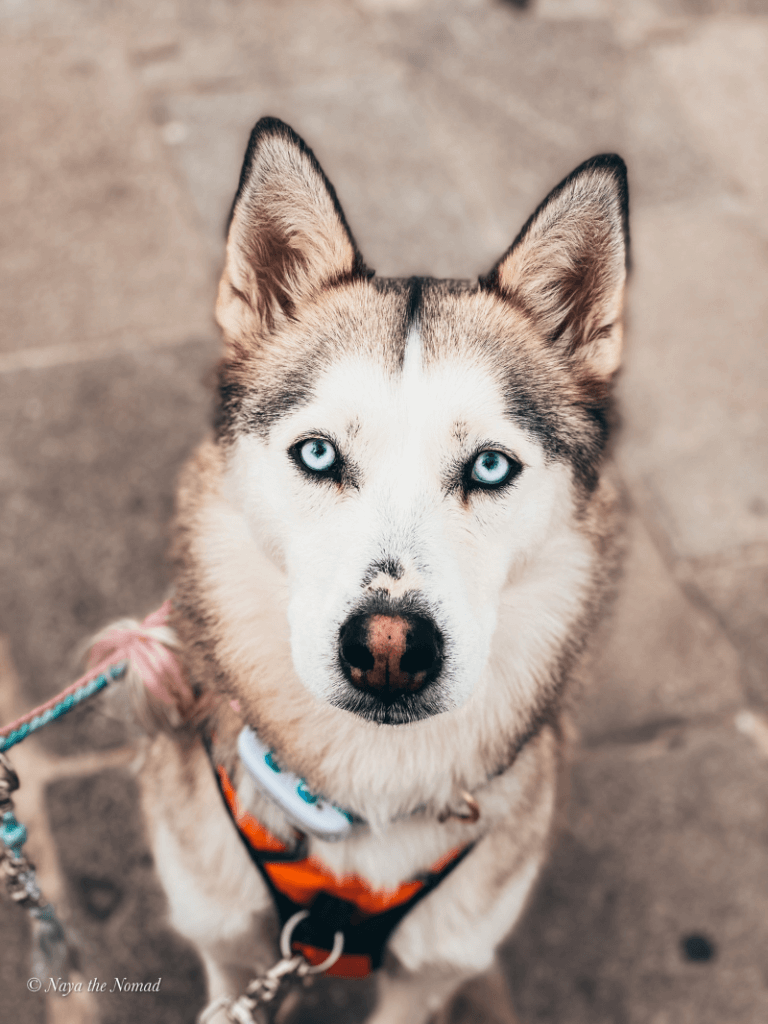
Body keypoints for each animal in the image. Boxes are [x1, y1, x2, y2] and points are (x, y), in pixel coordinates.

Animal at [138, 119, 630, 1024]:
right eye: (319, 454)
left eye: (490, 467)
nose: (392, 649)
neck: (363, 791)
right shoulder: (220, 934)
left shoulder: (435, 964)